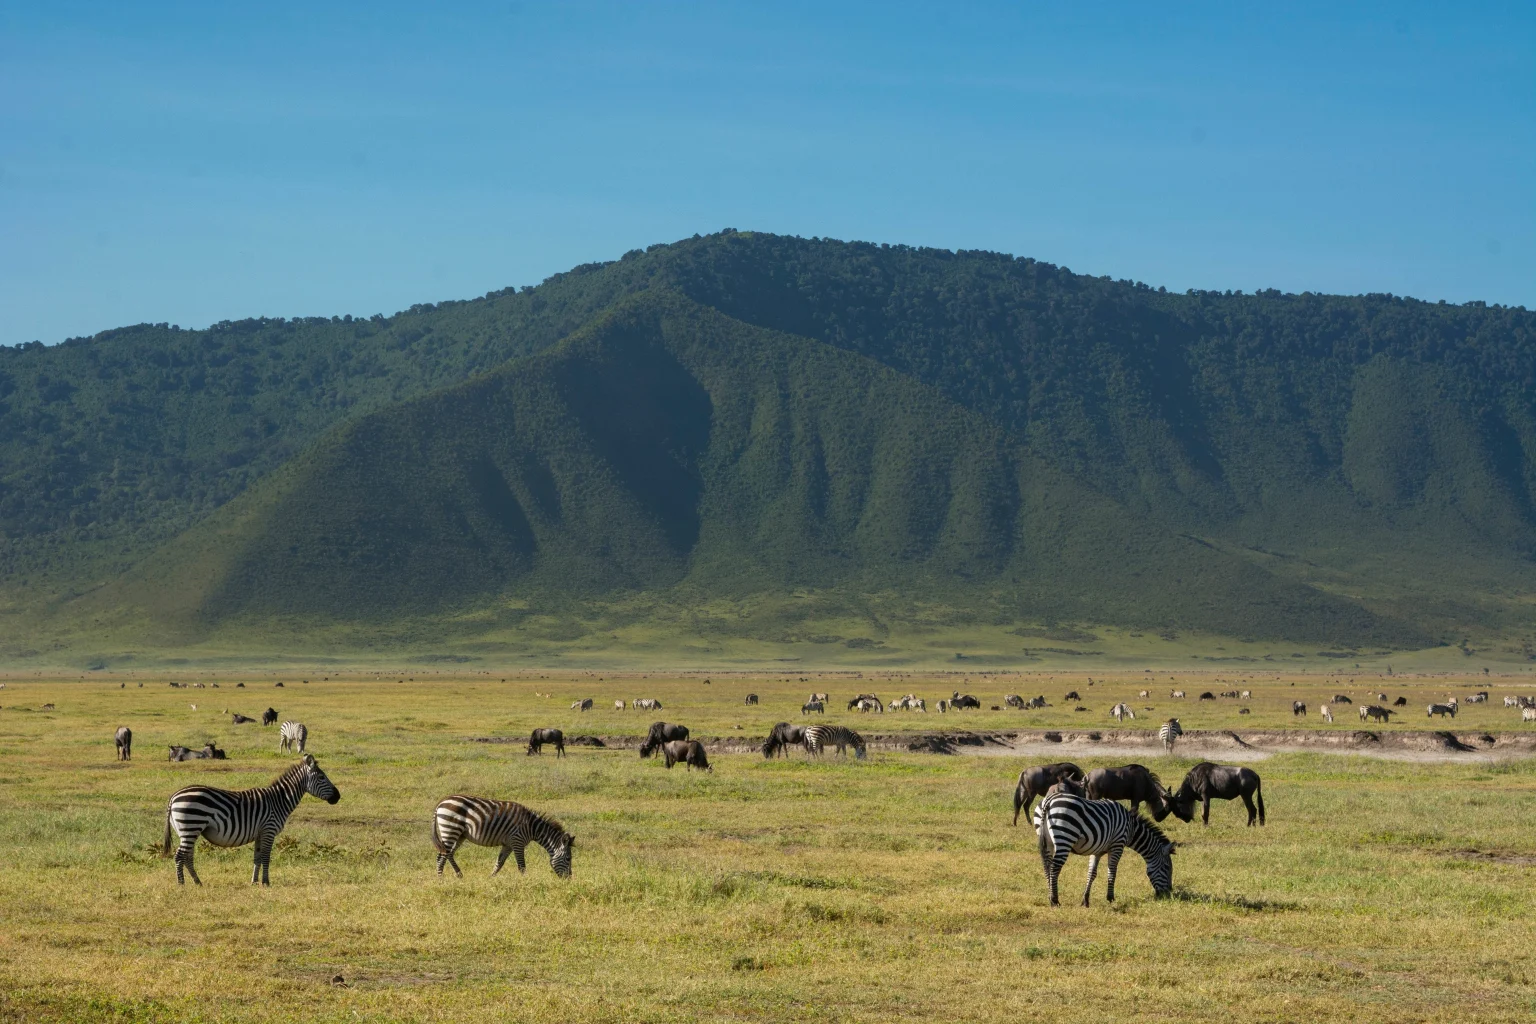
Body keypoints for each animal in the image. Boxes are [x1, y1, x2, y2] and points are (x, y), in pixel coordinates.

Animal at [162, 754, 340, 885]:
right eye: (321, 777)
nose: (338, 796)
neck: (279, 800)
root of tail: (174, 797)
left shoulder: (260, 833)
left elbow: (257, 857)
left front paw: (254, 882)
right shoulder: (269, 830)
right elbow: (266, 857)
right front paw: (266, 882)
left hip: (187, 831)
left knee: (187, 856)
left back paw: (198, 882)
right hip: (191, 826)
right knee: (179, 856)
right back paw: (181, 884)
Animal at [432, 796, 574, 878]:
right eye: (568, 858)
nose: (569, 879)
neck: (532, 827)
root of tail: (441, 803)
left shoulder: (508, 844)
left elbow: (499, 863)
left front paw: (490, 878)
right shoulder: (517, 841)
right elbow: (521, 866)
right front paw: (526, 882)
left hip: (460, 834)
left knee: (449, 853)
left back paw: (458, 874)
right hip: (450, 828)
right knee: (442, 855)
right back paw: (441, 879)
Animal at [1033, 792, 1175, 906]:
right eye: (1167, 867)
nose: (1168, 894)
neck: (1131, 829)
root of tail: (1049, 800)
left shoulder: (1097, 850)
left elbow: (1091, 873)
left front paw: (1085, 900)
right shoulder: (1118, 844)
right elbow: (1112, 871)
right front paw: (1110, 898)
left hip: (1047, 841)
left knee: (1046, 867)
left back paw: (1050, 896)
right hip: (1065, 837)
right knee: (1054, 868)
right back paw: (1055, 900)